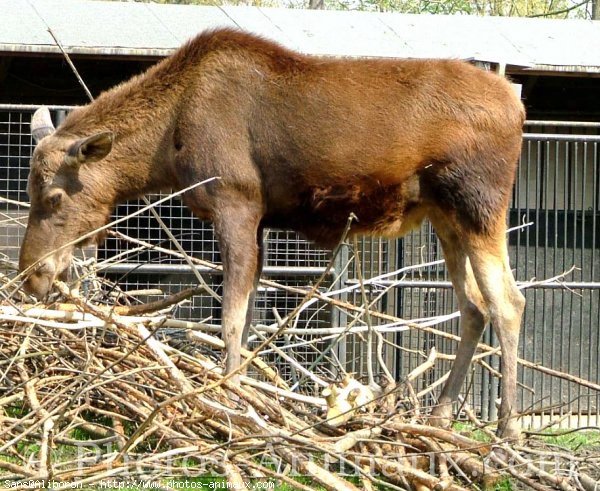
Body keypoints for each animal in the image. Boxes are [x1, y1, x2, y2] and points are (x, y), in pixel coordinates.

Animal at [18, 28, 524, 440]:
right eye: (29, 190)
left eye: (55, 197)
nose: (31, 276)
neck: (164, 150)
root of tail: (518, 108)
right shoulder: (258, 221)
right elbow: (248, 321)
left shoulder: (236, 202)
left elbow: (230, 318)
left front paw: (229, 395)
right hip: (445, 217)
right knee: (473, 307)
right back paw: (441, 416)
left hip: (479, 204)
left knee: (507, 302)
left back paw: (508, 430)